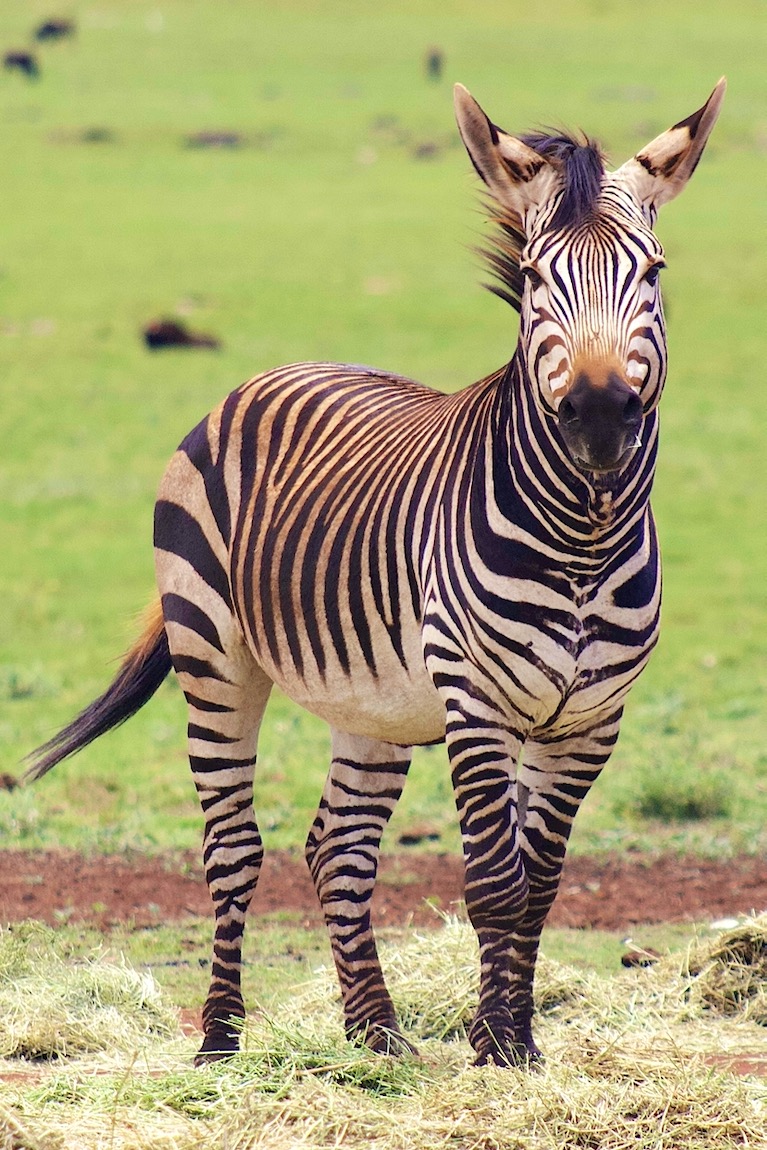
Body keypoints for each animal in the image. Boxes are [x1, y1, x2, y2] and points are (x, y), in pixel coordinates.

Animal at [26, 79, 725, 1067]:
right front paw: (495, 1049)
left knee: (337, 847)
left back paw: (375, 1035)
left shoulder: (592, 719)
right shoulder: (475, 699)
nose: (596, 415)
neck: (582, 541)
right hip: (216, 655)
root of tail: (272, 372)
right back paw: (220, 1041)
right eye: (530, 279)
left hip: (375, 705)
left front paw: (511, 1041)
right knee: (234, 848)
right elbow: (496, 880)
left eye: (653, 273)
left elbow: (541, 879)